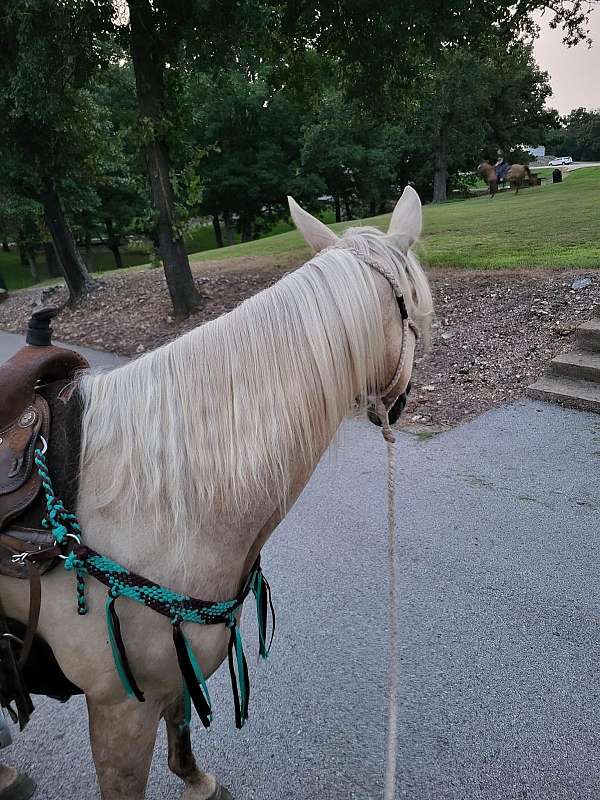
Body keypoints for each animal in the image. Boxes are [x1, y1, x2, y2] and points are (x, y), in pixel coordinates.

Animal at [0, 189, 432, 800]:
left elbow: (182, 730)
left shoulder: (173, 671)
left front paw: (198, 782)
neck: (162, 499)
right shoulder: (119, 710)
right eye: (419, 309)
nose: (401, 401)